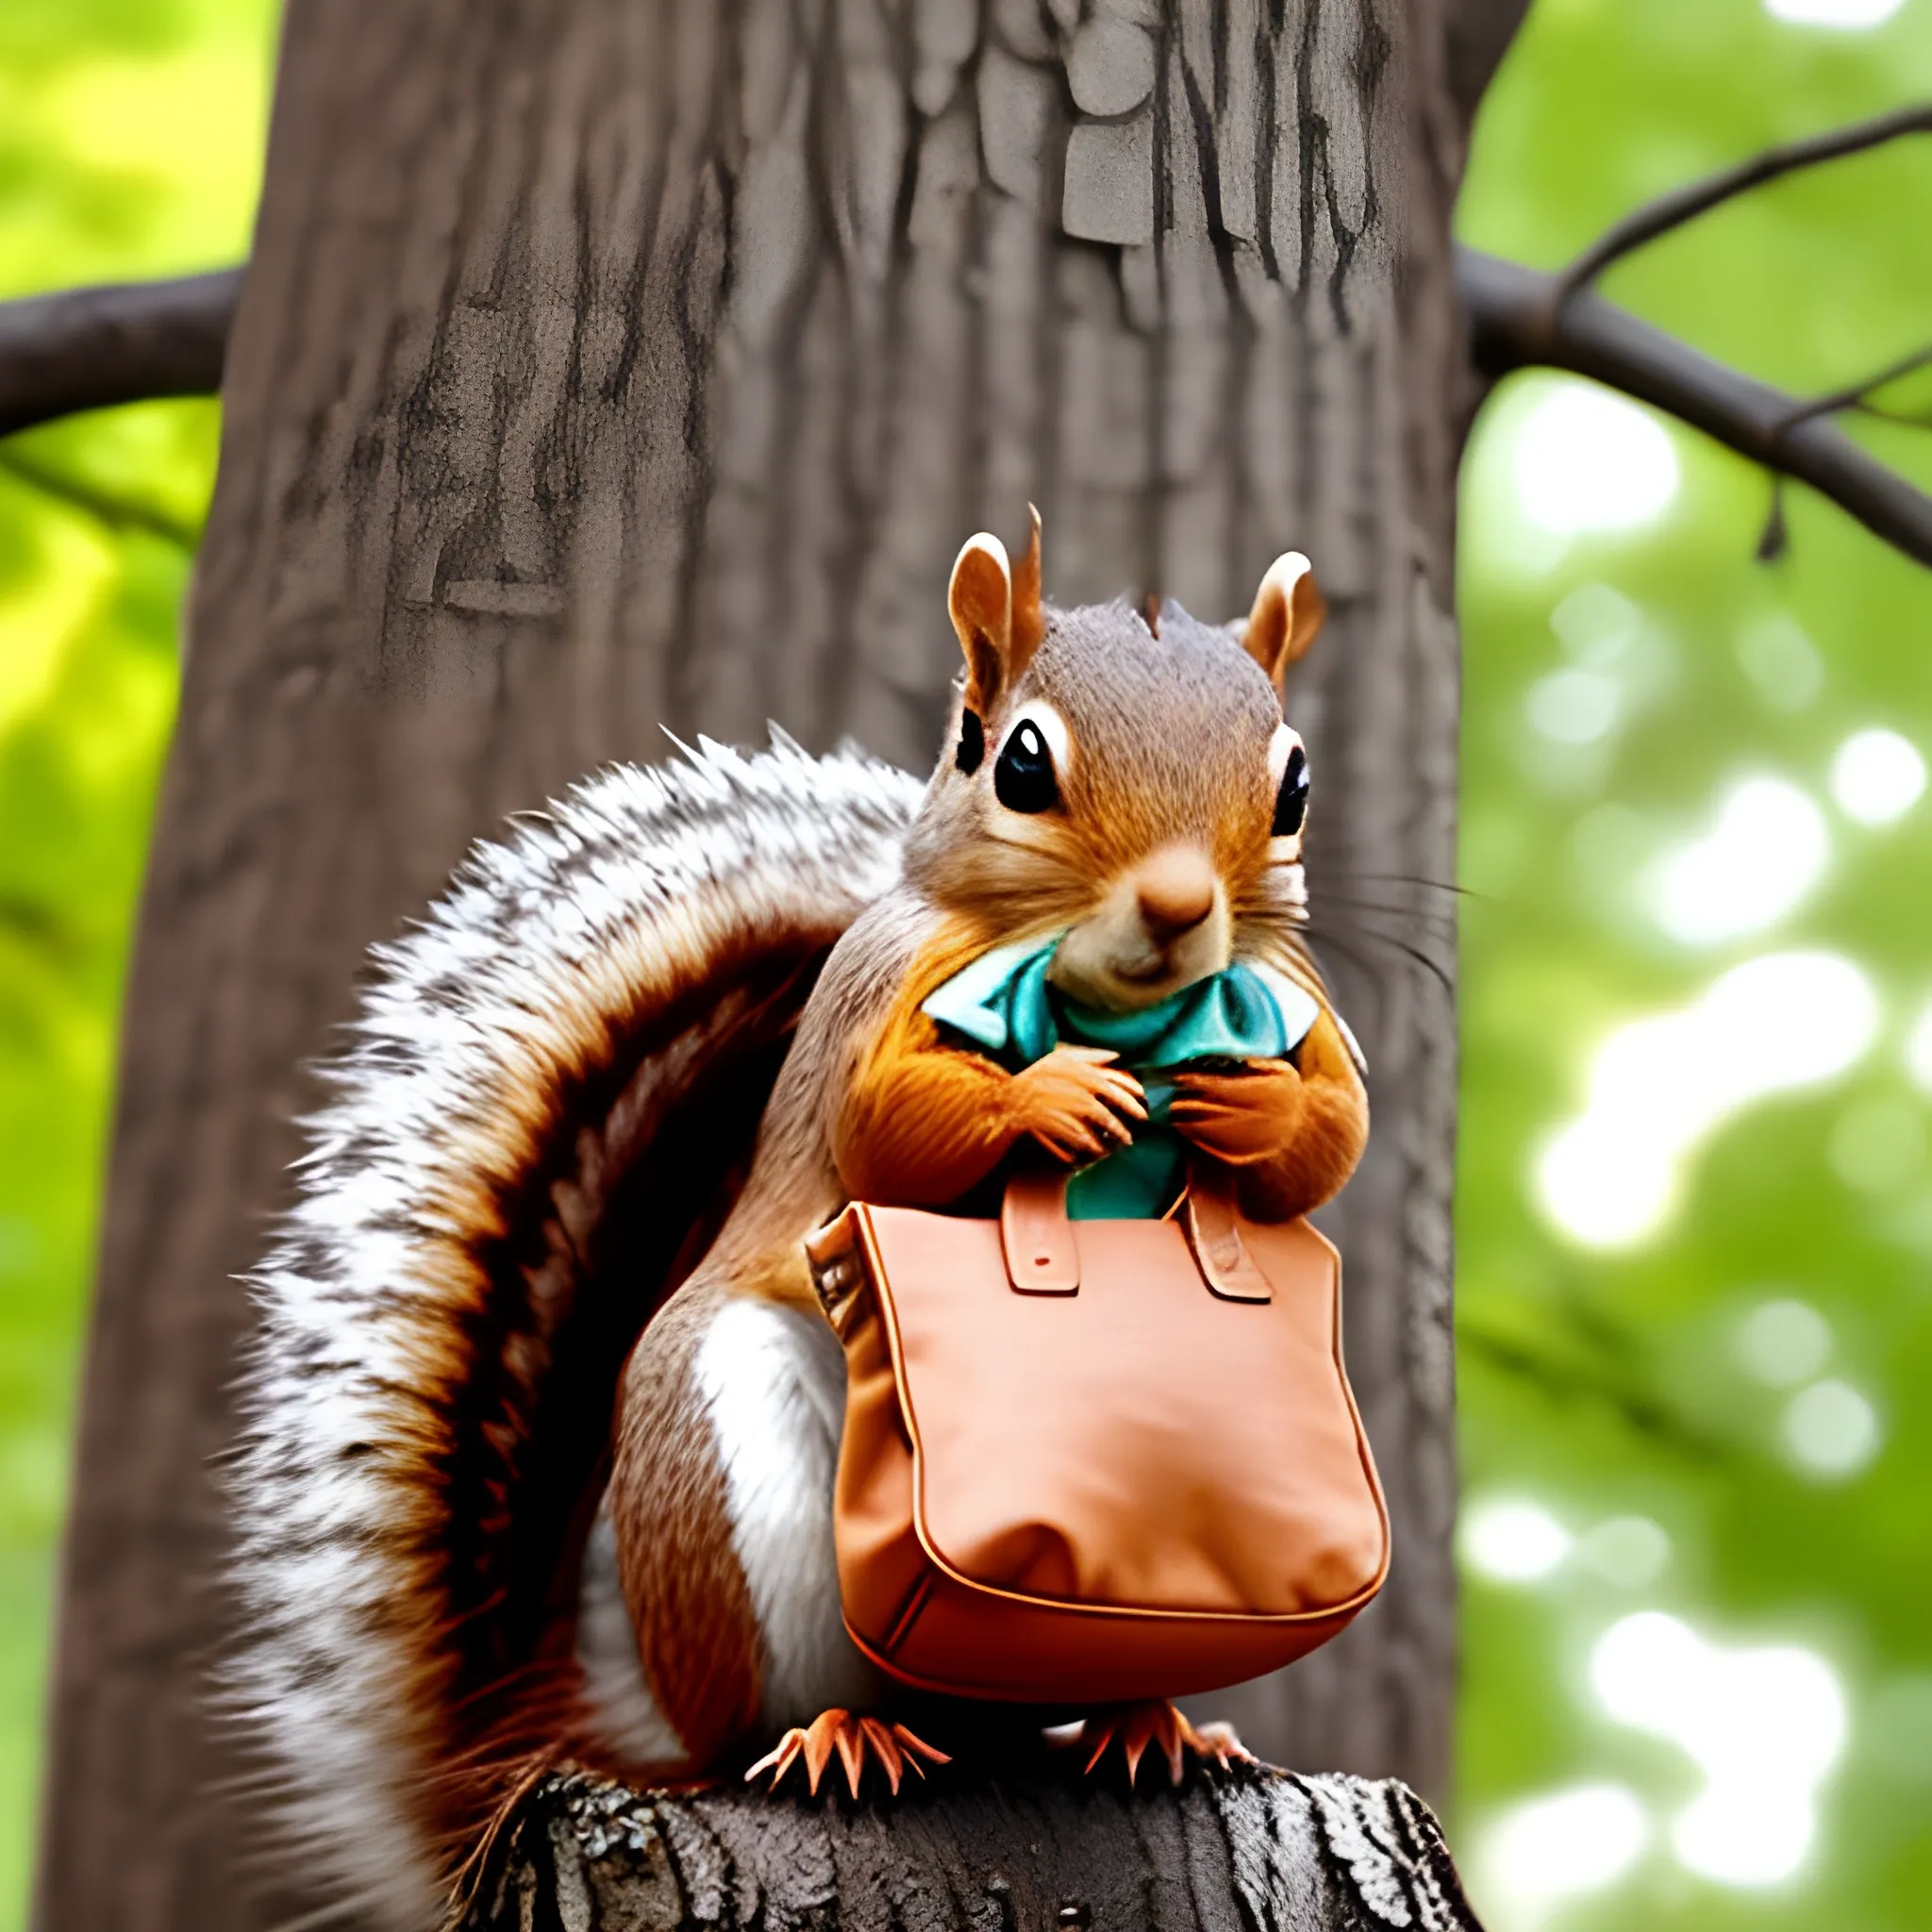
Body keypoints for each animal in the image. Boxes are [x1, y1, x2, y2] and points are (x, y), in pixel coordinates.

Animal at [229, 513, 1375, 1932]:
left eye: (1297, 785)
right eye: (1017, 759)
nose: (1175, 910)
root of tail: (603, 1743)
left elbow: (1326, 1147)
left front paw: (1254, 1115)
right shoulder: (858, 1005)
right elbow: (886, 1136)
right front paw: (1050, 1097)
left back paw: (1148, 1723)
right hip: (738, 1480)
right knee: (761, 1733)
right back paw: (842, 1736)